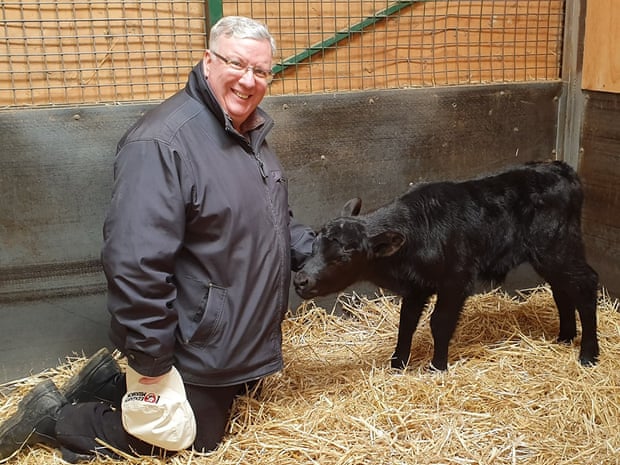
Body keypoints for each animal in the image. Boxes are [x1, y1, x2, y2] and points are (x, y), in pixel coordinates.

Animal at [296, 160, 600, 370]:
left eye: (343, 257)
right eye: (313, 245)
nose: (301, 280)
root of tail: (560, 168)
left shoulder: (456, 280)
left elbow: (439, 322)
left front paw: (437, 366)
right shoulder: (416, 287)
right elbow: (406, 323)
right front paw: (397, 364)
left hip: (557, 247)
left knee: (585, 284)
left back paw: (588, 353)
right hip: (550, 256)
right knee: (562, 289)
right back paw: (564, 337)